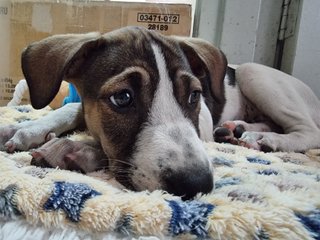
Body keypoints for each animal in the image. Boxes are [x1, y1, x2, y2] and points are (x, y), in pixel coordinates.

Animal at [0, 26, 320, 200]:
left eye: (194, 95)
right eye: (122, 98)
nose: (197, 185)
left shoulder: (202, 123)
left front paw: (75, 149)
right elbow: (69, 109)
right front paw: (25, 129)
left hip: (255, 75)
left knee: (309, 131)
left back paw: (265, 140)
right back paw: (237, 131)